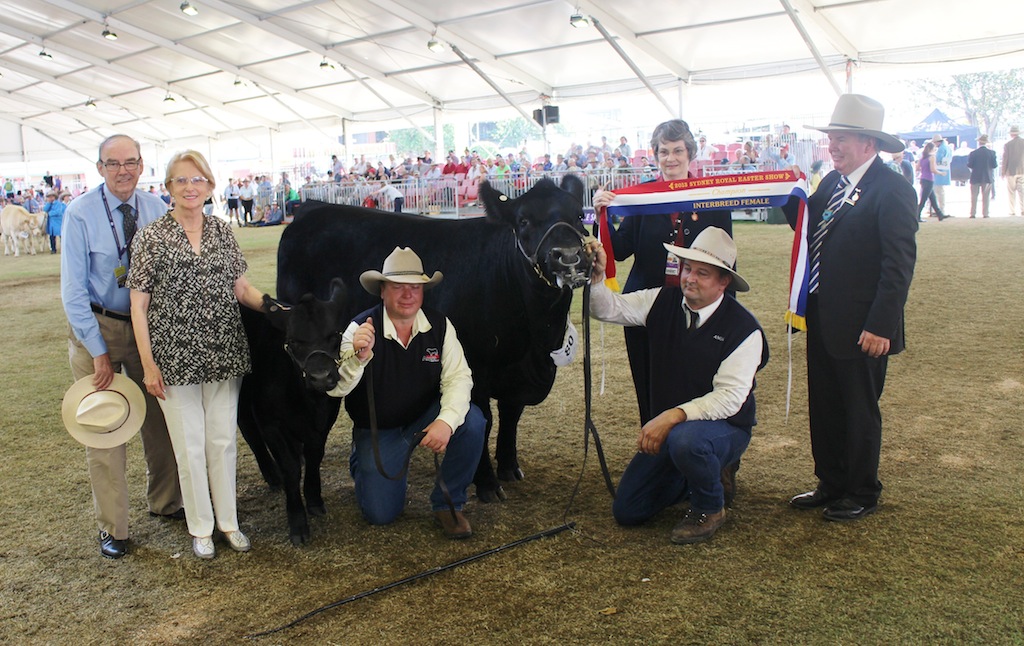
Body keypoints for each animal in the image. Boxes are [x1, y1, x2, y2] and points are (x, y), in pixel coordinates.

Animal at [238, 282, 348, 544]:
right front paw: (297, 522)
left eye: (334, 335)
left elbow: (315, 455)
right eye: (293, 342)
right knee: (250, 432)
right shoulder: (270, 422)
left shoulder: (325, 420)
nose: (321, 377)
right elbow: (290, 467)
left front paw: (315, 499)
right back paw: (273, 476)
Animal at [276, 177, 589, 505]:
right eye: (524, 220)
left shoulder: (516, 373)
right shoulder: (475, 367)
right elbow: (484, 418)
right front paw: (487, 483)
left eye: (579, 215)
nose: (568, 256)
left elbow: (511, 416)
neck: (534, 339)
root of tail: (312, 208)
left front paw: (509, 467)